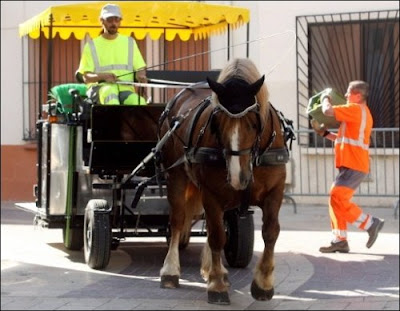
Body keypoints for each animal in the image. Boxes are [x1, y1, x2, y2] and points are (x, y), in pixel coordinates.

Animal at [158, 58, 290, 304]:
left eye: (254, 123)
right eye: (217, 123)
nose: (238, 177)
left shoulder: (275, 191)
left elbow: (270, 232)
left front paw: (263, 283)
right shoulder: (211, 193)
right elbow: (217, 237)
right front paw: (217, 284)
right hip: (176, 177)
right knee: (179, 220)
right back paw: (171, 270)